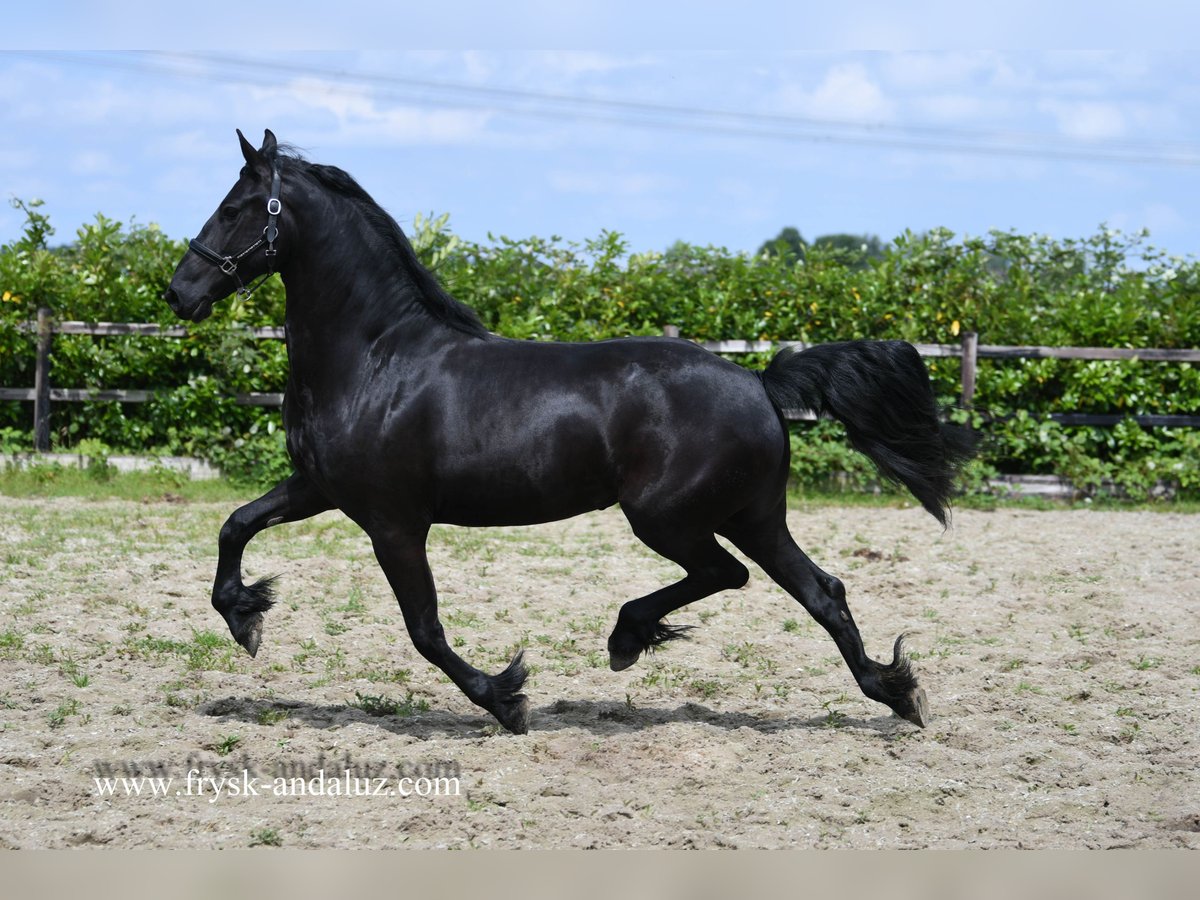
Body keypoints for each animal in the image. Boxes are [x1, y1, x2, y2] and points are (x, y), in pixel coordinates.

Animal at [166, 135, 974, 739]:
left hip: (667, 517)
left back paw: (627, 638)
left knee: (728, 575)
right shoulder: (320, 490)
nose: (179, 293)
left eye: (236, 208)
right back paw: (896, 693)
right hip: (752, 515)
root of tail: (758, 382)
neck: (374, 359)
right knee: (821, 591)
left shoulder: (393, 522)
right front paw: (245, 616)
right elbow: (235, 524)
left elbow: (424, 629)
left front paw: (507, 697)